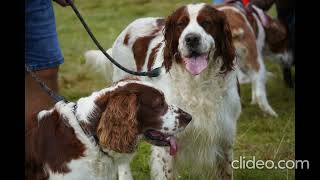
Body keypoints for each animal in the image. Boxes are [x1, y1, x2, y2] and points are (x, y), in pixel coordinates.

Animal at [86, 2, 241, 180]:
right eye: (181, 24)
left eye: (206, 22)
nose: (191, 39)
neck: (197, 82)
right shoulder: (167, 139)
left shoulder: (225, 136)